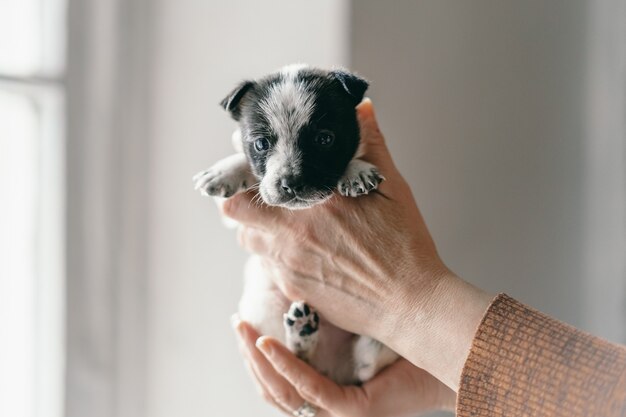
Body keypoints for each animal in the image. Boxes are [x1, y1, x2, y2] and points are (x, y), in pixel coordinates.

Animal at [194, 63, 394, 382]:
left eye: (325, 139)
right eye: (261, 143)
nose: (291, 183)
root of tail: (333, 370)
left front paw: (356, 171)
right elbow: (245, 165)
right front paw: (226, 170)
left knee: (367, 364)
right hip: (264, 306)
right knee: (298, 356)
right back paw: (303, 331)